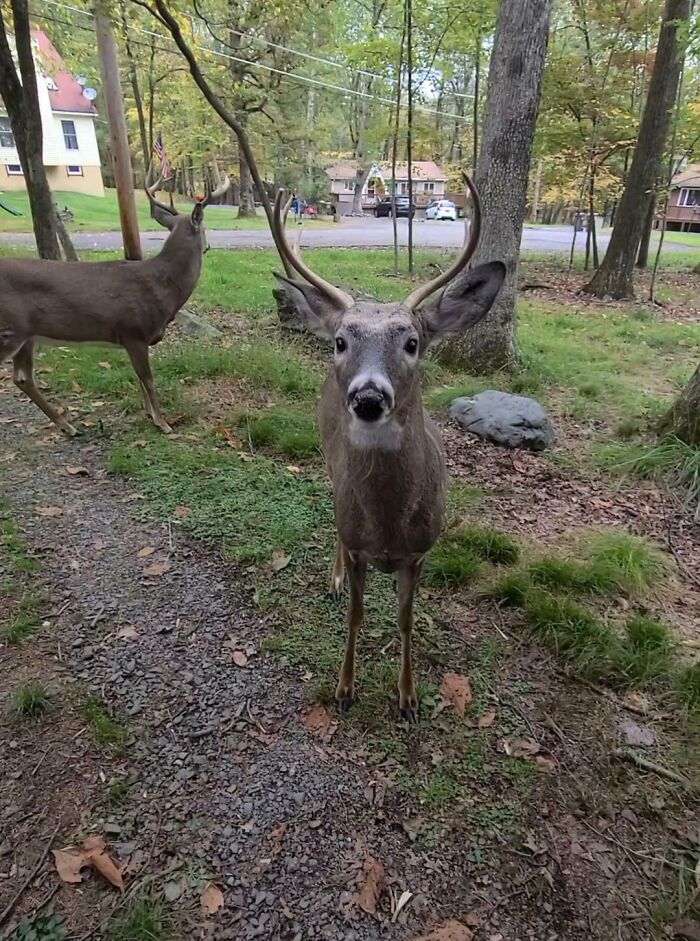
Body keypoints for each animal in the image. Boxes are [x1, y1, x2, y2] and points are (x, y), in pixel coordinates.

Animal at [0, 169, 229, 437]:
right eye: (205, 227)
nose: (208, 246)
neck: (163, 286)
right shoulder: (134, 332)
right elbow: (148, 379)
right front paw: (163, 423)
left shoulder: (132, 339)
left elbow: (140, 380)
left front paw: (150, 415)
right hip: (9, 329)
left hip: (26, 334)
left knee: (22, 377)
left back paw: (68, 426)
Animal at [272, 173, 505, 722]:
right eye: (341, 341)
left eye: (413, 342)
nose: (369, 397)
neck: (387, 528)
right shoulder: (360, 545)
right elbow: (357, 615)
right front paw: (344, 688)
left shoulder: (419, 553)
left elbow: (404, 620)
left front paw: (408, 697)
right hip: (325, 458)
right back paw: (333, 578)